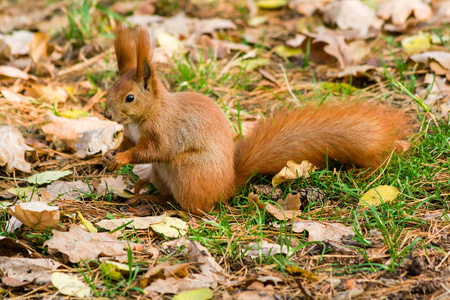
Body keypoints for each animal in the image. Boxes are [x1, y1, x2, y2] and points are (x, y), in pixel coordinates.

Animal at [103, 24, 412, 214]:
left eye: (130, 97)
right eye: (111, 87)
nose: (106, 114)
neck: (148, 113)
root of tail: (228, 185)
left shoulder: (165, 132)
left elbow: (152, 150)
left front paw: (121, 158)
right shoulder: (130, 132)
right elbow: (126, 142)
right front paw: (110, 153)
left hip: (187, 172)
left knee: (192, 206)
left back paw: (163, 203)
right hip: (165, 173)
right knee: (169, 193)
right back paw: (144, 191)